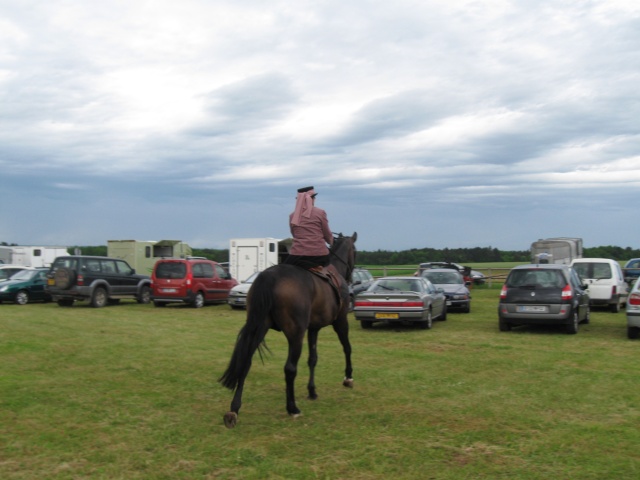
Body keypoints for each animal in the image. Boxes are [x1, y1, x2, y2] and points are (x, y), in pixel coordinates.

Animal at [219, 232, 360, 428]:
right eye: (355, 250)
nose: (353, 278)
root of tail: (269, 277)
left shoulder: (313, 328)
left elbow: (313, 359)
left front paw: (312, 391)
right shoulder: (340, 321)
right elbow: (347, 347)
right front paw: (348, 378)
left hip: (258, 327)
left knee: (246, 363)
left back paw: (234, 409)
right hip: (295, 334)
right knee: (290, 368)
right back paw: (292, 408)